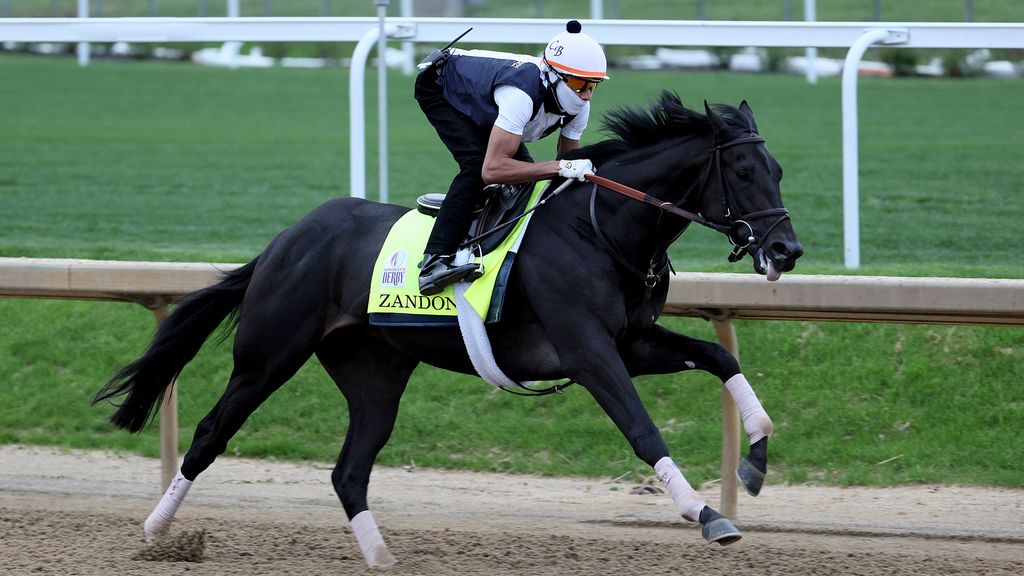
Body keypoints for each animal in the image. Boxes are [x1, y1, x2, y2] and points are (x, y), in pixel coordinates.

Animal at [94, 94, 798, 565]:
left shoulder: (632, 341)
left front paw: (755, 459)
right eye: (742, 173)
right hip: (268, 355)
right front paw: (706, 513)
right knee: (211, 433)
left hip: (374, 374)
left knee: (349, 470)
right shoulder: (588, 351)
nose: (786, 250)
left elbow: (718, 357)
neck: (602, 230)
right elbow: (642, 428)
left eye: (779, 171)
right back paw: (156, 533)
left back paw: (381, 557)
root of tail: (286, 240)